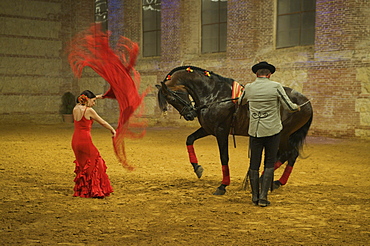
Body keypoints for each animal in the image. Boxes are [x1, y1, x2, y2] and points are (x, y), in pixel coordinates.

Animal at [156, 65, 312, 194]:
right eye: (169, 101)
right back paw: (277, 182)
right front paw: (197, 168)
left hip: (284, 134)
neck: (214, 94)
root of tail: (306, 103)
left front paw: (223, 185)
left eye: (174, 97)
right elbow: (189, 140)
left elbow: (224, 157)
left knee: (287, 154)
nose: (189, 114)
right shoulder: (208, 129)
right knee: (292, 154)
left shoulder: (221, 131)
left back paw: (264, 180)